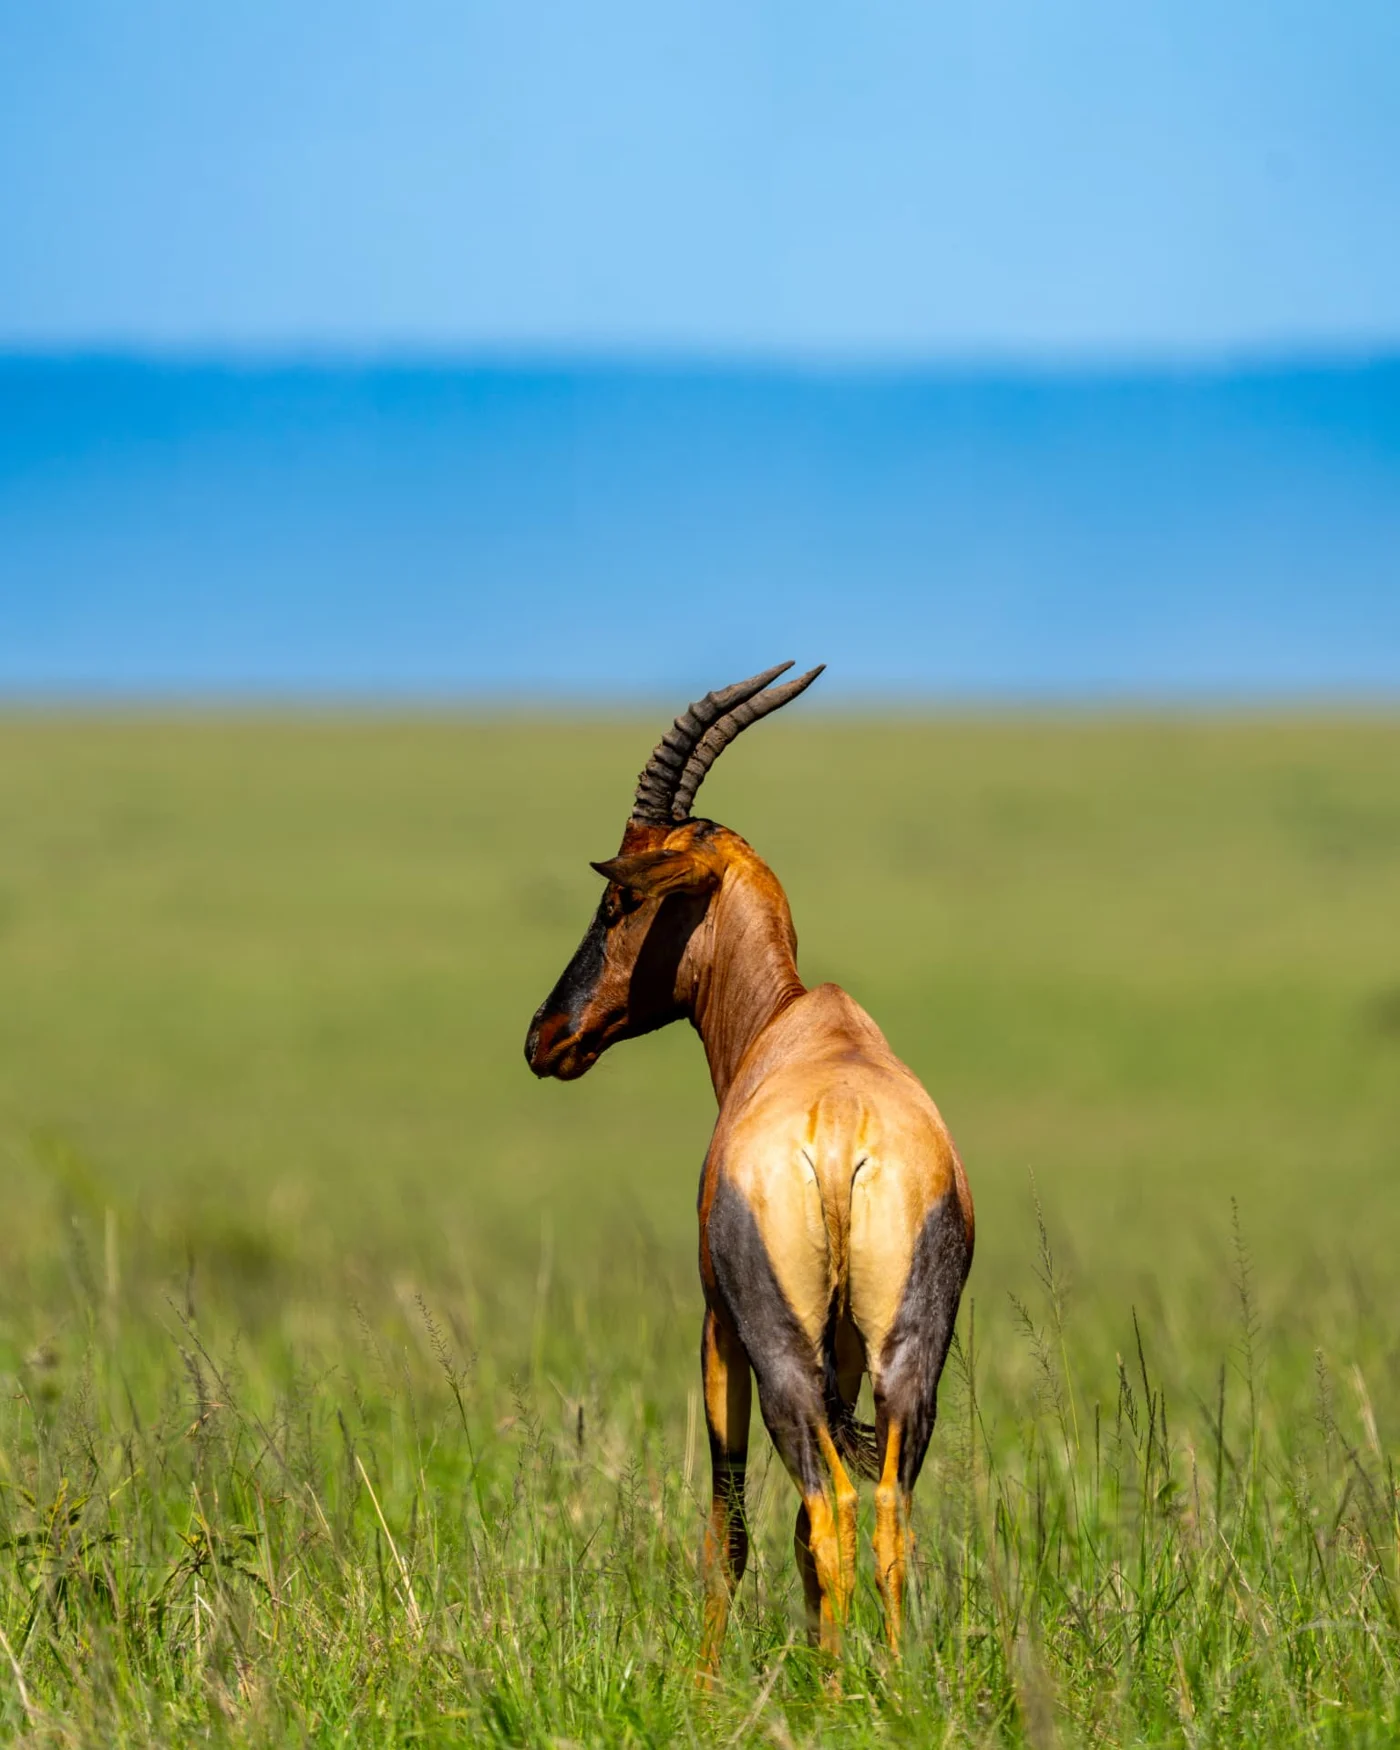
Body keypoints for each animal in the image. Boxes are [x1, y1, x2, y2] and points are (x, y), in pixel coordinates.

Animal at [524, 663, 973, 1669]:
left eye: (618, 901)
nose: (545, 1037)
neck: (800, 1027)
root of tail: (841, 1129)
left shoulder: (716, 1331)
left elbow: (726, 1530)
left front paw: (705, 1684)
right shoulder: (839, 1347)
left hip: (776, 1352)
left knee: (827, 1503)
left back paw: (838, 1684)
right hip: (906, 1355)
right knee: (885, 1514)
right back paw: (888, 1678)